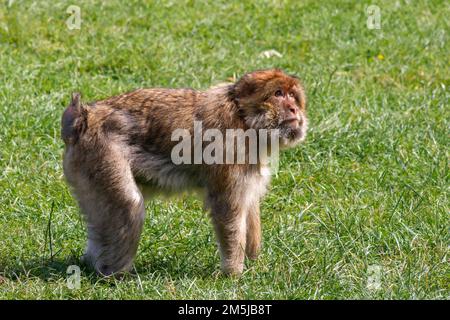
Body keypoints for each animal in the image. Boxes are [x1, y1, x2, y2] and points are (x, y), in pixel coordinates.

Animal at [61, 68, 308, 276]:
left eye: (292, 96)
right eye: (278, 93)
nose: (294, 109)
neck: (244, 119)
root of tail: (83, 118)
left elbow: (249, 203)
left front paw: (254, 260)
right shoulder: (230, 151)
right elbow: (227, 207)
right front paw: (233, 274)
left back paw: (91, 263)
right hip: (101, 155)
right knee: (128, 204)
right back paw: (112, 274)